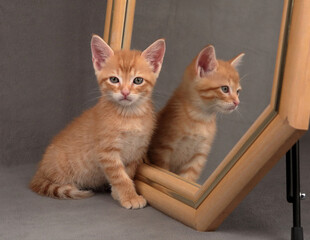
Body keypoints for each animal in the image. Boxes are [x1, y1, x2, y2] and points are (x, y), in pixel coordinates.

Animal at [30, 34, 166, 209]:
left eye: (137, 81)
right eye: (114, 79)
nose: (125, 92)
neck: (130, 115)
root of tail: (39, 170)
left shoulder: (136, 151)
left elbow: (128, 174)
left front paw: (118, 194)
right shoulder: (107, 152)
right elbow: (121, 178)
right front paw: (130, 197)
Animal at [149, 45, 243, 182]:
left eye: (238, 92)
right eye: (225, 89)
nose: (237, 102)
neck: (200, 118)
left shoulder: (198, 157)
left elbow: (186, 179)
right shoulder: (162, 149)